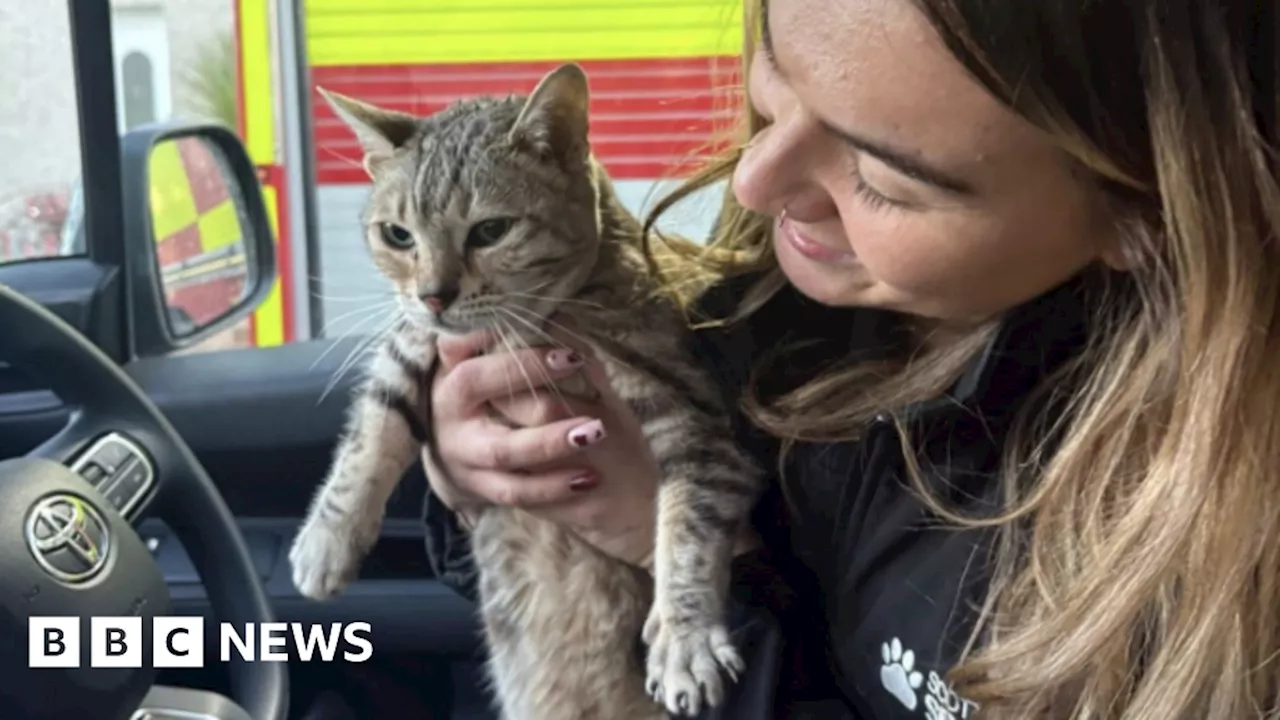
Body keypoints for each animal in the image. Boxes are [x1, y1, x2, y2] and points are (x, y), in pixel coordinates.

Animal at [289, 63, 762, 717]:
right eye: (398, 236)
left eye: (491, 230)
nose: (433, 295)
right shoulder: (412, 340)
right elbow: (373, 429)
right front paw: (327, 538)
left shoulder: (694, 420)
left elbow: (689, 527)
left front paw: (684, 636)